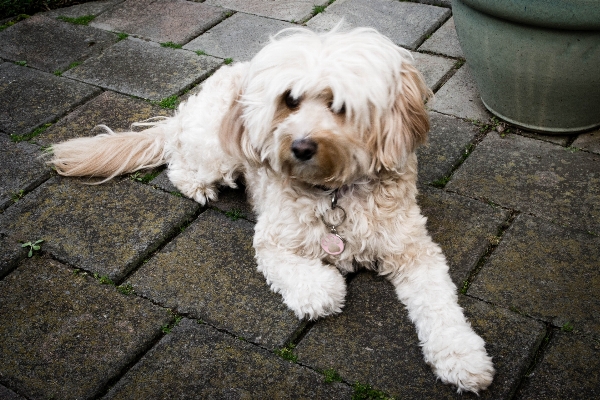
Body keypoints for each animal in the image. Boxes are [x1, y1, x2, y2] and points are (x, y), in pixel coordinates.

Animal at [49, 26, 494, 392]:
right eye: (290, 99)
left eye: (341, 105)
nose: (300, 146)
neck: (334, 190)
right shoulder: (273, 239)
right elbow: (305, 279)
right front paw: (323, 289)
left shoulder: (414, 247)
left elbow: (440, 303)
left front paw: (463, 358)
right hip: (215, 151)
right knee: (178, 162)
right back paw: (198, 187)